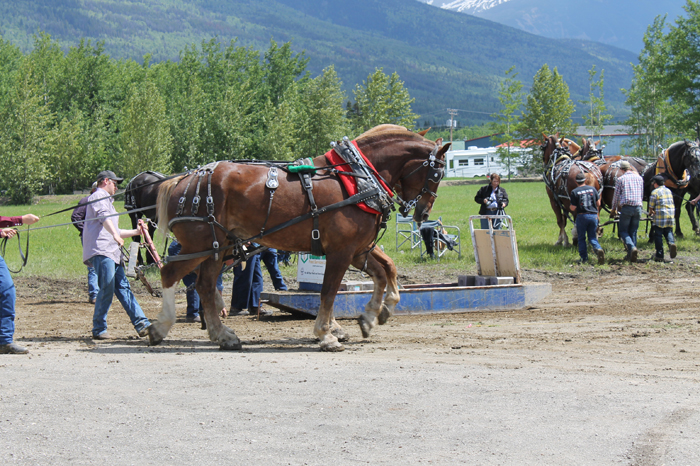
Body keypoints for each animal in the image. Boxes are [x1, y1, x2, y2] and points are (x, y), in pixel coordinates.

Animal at [150, 124, 452, 350]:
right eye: (437, 173)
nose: (423, 213)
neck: (356, 178)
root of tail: (182, 180)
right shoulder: (342, 250)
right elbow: (329, 291)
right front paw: (326, 334)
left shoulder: (357, 249)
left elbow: (384, 270)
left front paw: (371, 315)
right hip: (200, 244)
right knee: (170, 274)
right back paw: (161, 327)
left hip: (217, 247)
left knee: (204, 285)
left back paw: (221, 334)